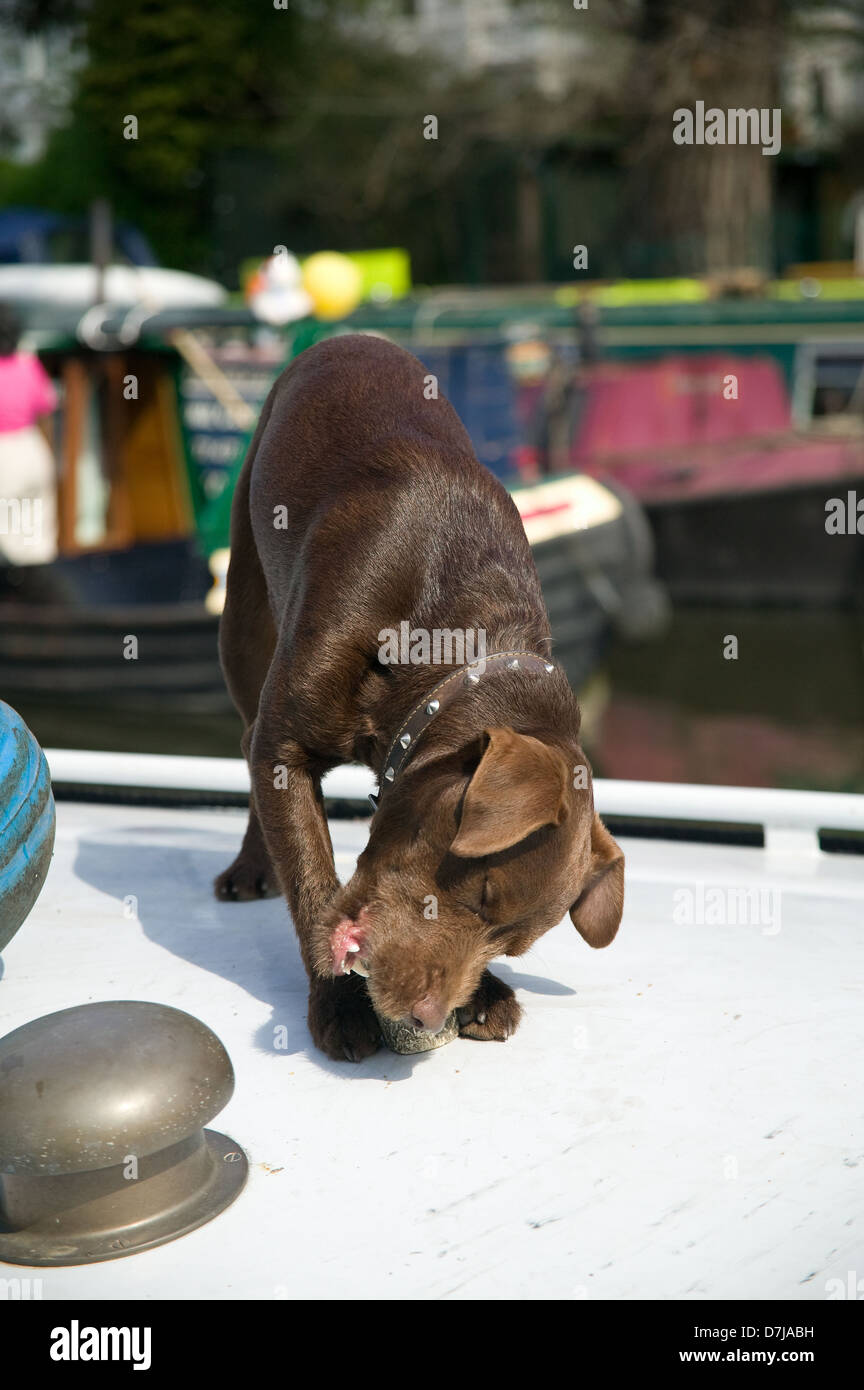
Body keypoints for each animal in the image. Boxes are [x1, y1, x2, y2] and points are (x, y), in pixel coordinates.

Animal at [215, 330, 622, 1056]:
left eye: (507, 941)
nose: (430, 1018)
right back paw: (251, 865)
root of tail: (351, 336)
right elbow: (313, 881)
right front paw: (340, 1005)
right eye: (482, 891)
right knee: (246, 733)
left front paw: (486, 995)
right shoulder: (286, 748)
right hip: (243, 609)